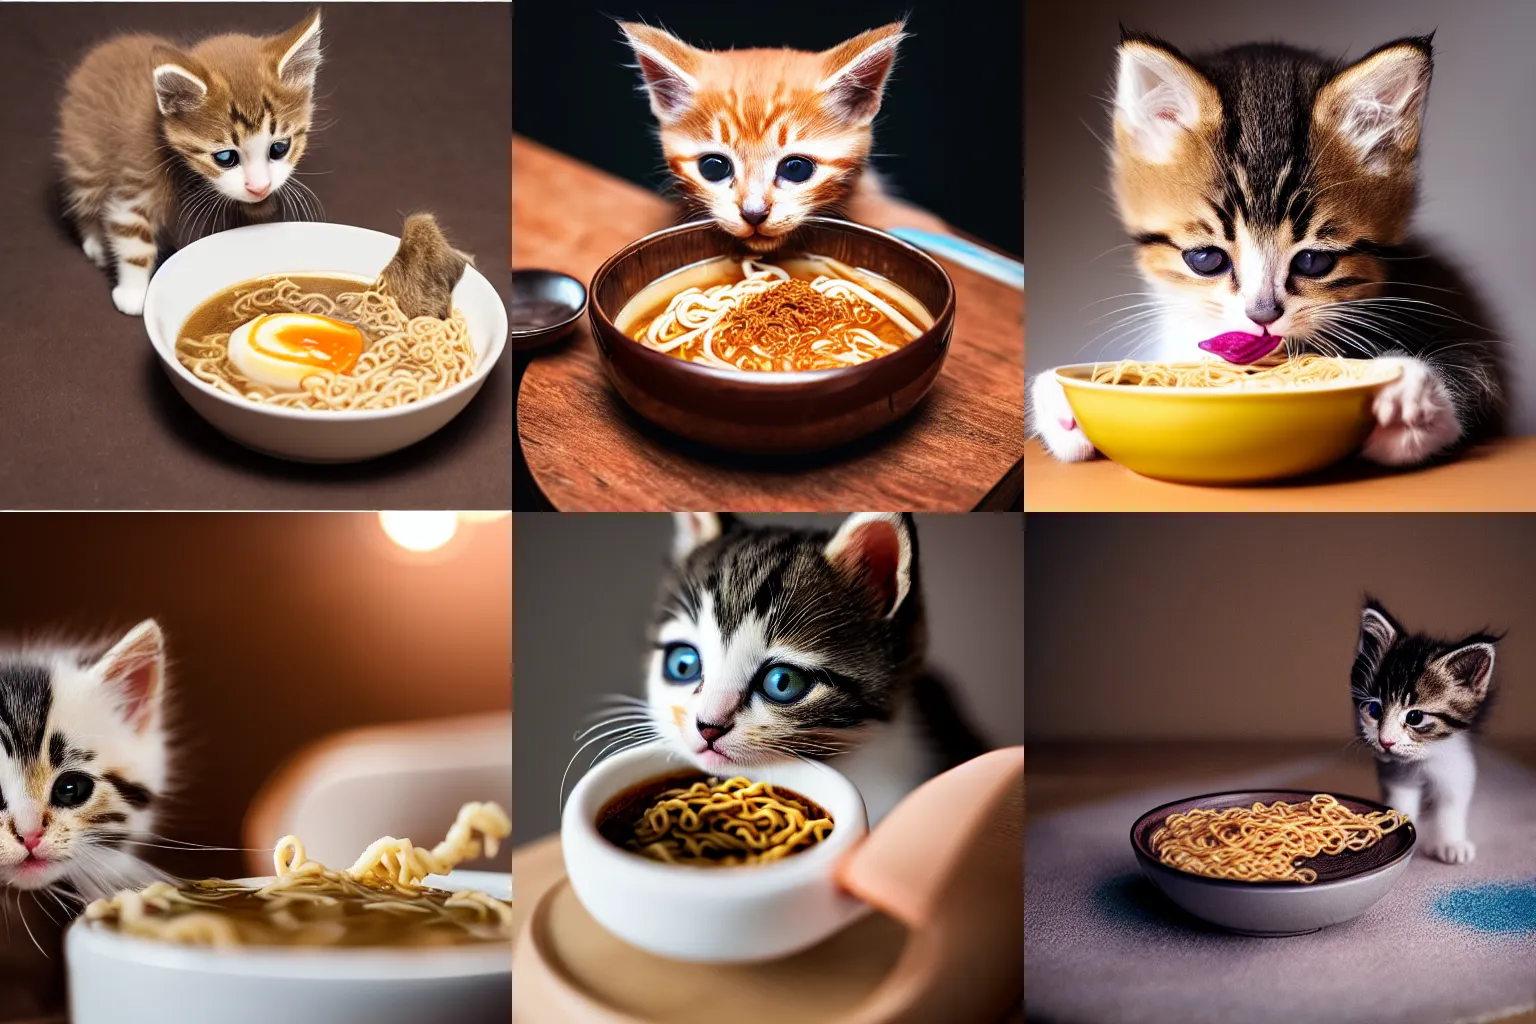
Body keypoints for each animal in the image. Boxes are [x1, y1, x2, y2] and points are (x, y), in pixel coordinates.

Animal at [57, 11, 324, 316]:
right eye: (225, 158)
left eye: (280, 148)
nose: (259, 187)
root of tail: (103, 50)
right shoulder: (136, 175)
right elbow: (132, 234)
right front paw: (133, 293)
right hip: (85, 154)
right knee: (86, 196)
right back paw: (95, 244)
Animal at [1357, 595, 1499, 872]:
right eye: (1374, 710)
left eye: (1415, 717)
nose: (1385, 741)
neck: (1421, 762)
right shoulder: (1395, 776)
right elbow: (1401, 803)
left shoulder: (1457, 768)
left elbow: (1451, 807)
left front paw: (1451, 844)